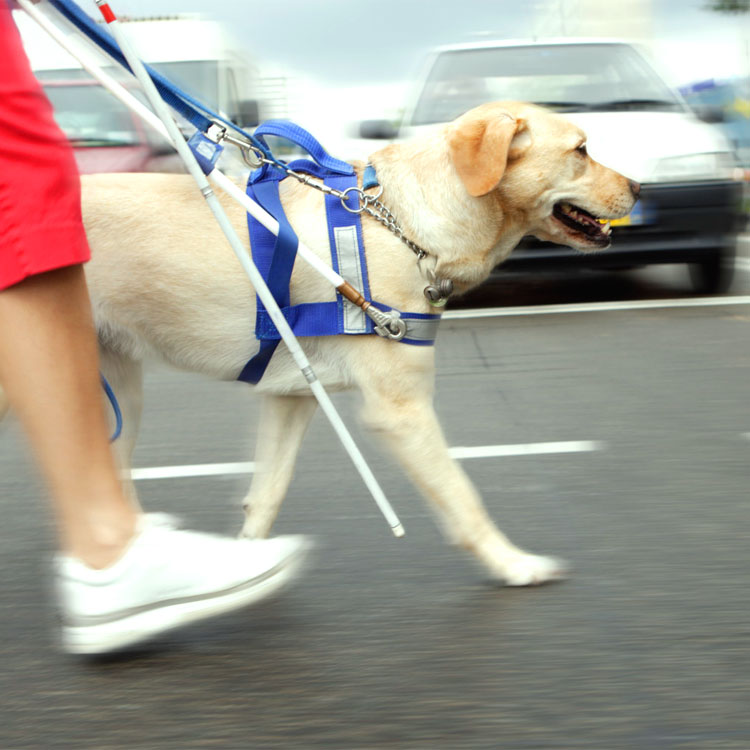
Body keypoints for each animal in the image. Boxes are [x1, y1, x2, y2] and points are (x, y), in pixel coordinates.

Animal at [0, 101, 640, 588]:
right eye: (582, 149)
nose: (639, 186)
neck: (400, 221)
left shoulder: (292, 399)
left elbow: (266, 495)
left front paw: (246, 564)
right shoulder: (401, 411)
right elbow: (463, 498)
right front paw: (512, 563)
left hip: (115, 396)